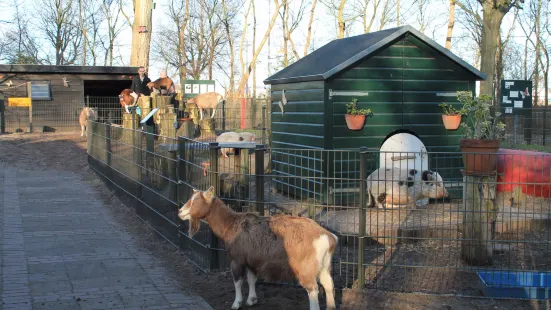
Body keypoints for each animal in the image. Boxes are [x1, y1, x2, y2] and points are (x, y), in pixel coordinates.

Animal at [179, 186, 338, 310]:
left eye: (195, 201)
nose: (180, 212)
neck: (231, 224)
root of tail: (327, 237)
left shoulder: (237, 259)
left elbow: (237, 280)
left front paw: (236, 303)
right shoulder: (251, 259)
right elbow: (251, 279)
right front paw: (251, 300)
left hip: (306, 267)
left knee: (313, 289)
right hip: (324, 264)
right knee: (328, 284)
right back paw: (330, 306)